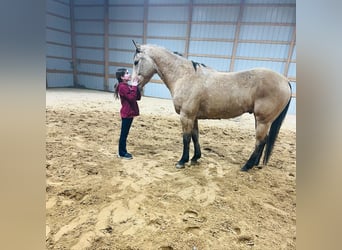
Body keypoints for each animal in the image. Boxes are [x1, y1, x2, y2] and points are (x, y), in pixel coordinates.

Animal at [131, 41, 292, 171]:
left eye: (136, 62)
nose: (133, 86)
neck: (184, 76)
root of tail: (285, 81)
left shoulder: (186, 116)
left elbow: (186, 138)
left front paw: (182, 161)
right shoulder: (193, 117)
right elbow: (195, 136)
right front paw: (195, 158)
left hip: (263, 120)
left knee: (260, 142)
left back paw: (246, 166)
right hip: (260, 121)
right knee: (263, 141)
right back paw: (254, 164)